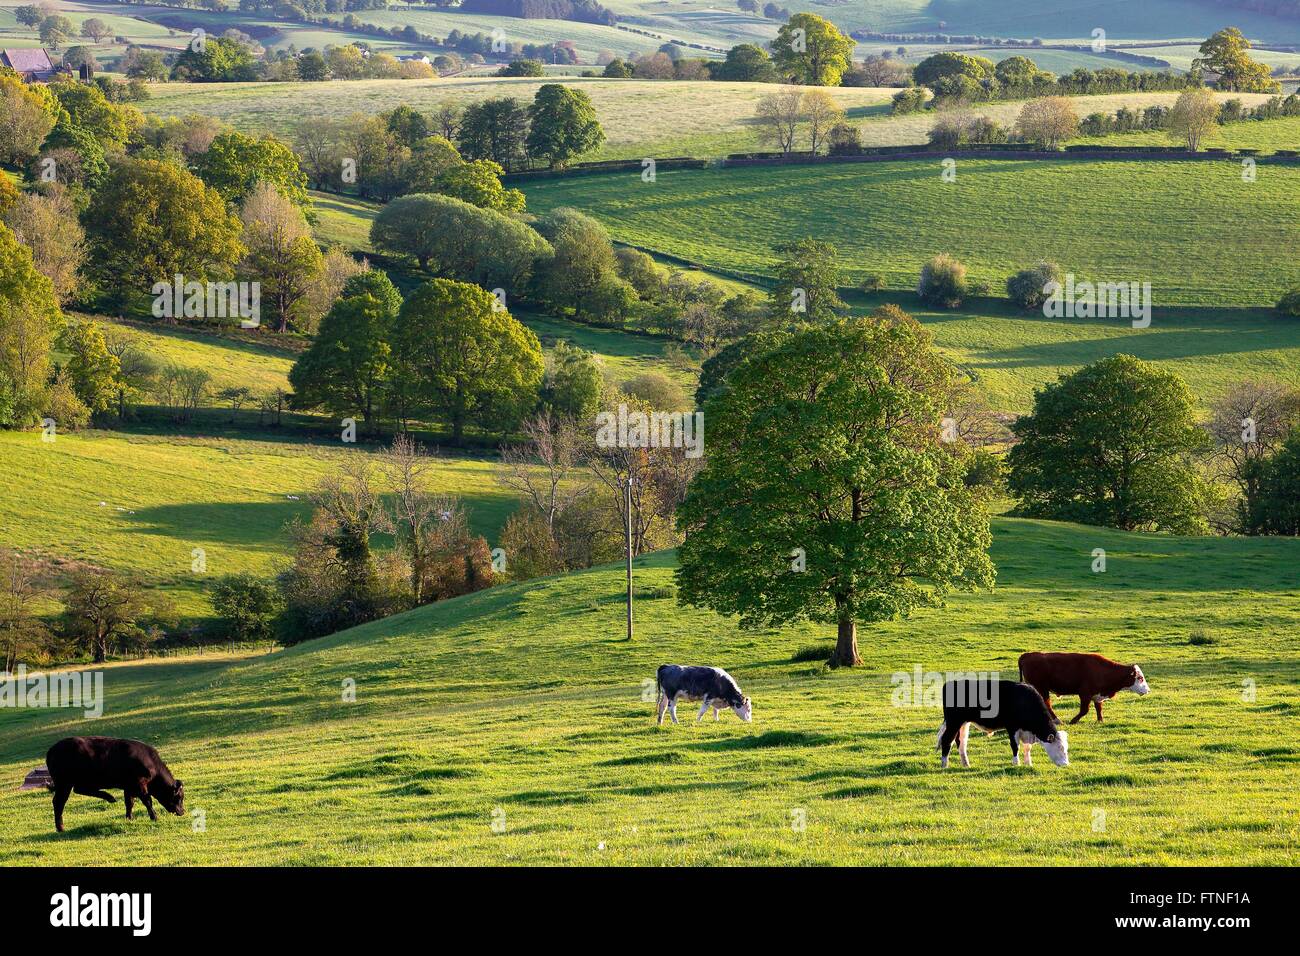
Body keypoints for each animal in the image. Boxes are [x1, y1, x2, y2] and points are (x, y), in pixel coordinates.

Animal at [45, 736, 185, 833]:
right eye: (179, 797)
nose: (182, 811)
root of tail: (52, 750)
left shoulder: (128, 786)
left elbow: (129, 802)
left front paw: (129, 818)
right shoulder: (139, 784)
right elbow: (147, 801)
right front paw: (154, 817)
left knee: (80, 790)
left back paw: (109, 797)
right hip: (64, 784)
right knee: (59, 802)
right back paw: (60, 828)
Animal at [936, 678, 1068, 768]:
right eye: (1060, 747)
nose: (1066, 764)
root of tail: (951, 683)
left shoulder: (1026, 731)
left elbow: (1027, 748)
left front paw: (1028, 763)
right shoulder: (1012, 727)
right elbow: (1015, 746)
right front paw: (1016, 763)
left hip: (963, 723)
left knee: (961, 743)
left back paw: (966, 764)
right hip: (953, 722)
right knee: (947, 740)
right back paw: (944, 765)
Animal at [1019, 652, 1150, 725]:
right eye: (1140, 678)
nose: (1148, 690)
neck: (1103, 671)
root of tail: (1027, 655)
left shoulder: (1097, 695)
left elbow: (1099, 708)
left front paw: (1100, 721)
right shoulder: (1085, 694)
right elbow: (1084, 710)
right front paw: (1073, 721)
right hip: (1042, 689)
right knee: (1047, 704)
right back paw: (1056, 720)